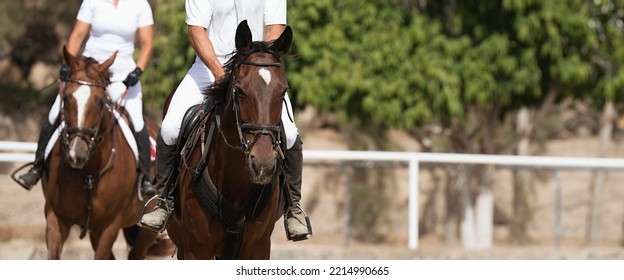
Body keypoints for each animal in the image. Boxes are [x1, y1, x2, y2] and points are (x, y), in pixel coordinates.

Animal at [41, 47, 171, 260]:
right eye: (66, 99)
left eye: (100, 102)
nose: (77, 153)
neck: (89, 173)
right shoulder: (56, 219)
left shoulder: (108, 227)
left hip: (146, 228)